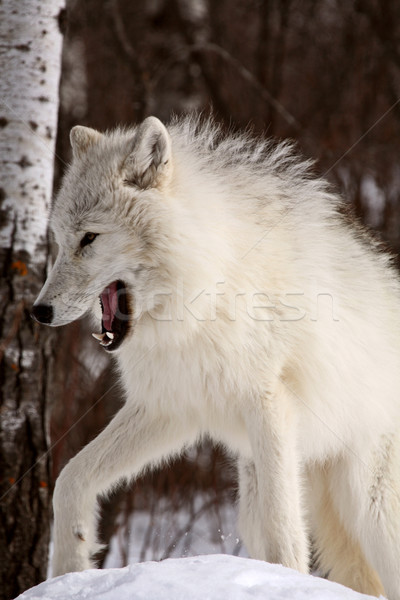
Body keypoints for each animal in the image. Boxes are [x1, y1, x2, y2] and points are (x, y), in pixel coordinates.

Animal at [32, 115, 400, 596]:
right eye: (59, 240)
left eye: (89, 238)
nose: (38, 311)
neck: (205, 290)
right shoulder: (170, 409)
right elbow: (69, 480)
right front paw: (69, 570)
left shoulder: (269, 405)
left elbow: (284, 532)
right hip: (261, 493)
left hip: (371, 509)